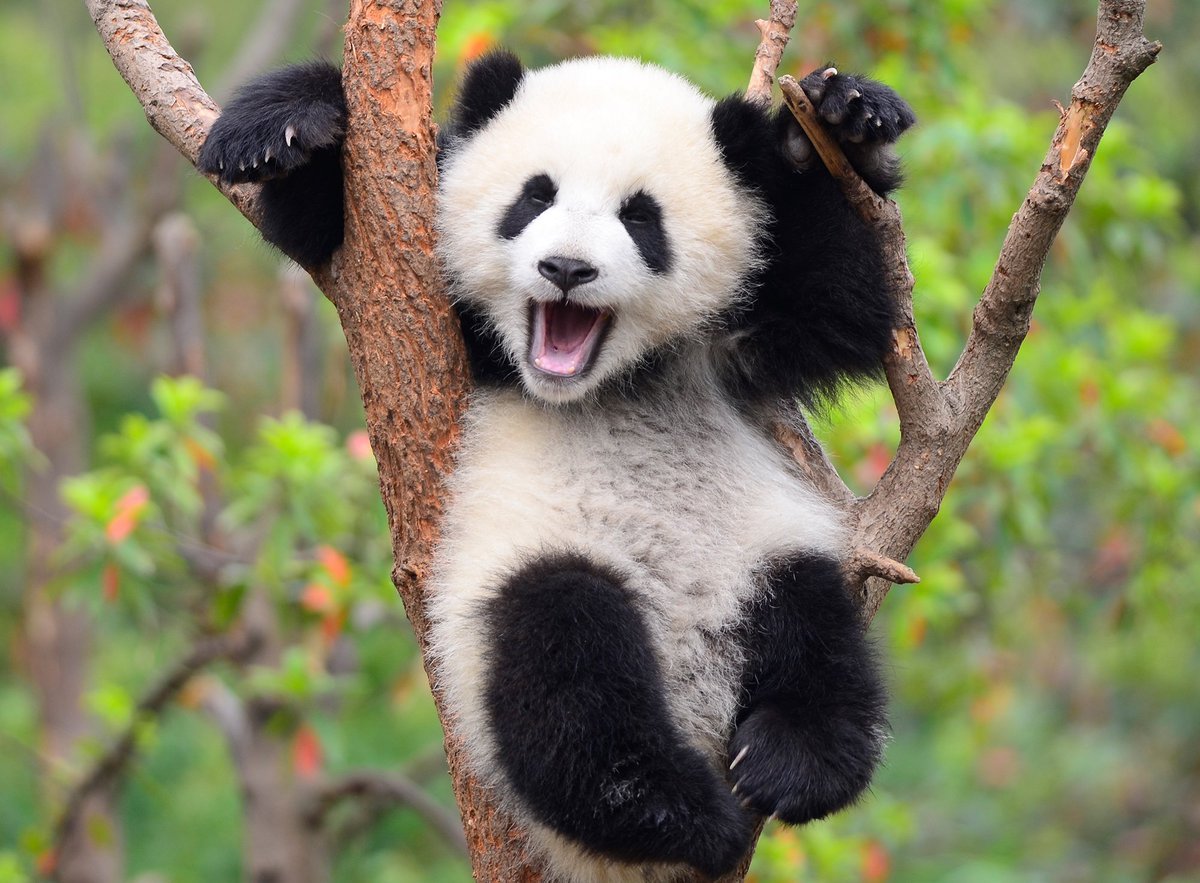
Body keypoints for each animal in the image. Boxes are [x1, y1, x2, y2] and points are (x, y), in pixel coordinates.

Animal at [200, 51, 914, 882]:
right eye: (534, 196)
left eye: (641, 217)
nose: (567, 268)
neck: (604, 383)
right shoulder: (446, 320)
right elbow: (335, 231)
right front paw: (283, 128)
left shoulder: (736, 343)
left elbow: (844, 303)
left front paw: (841, 118)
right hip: (528, 571)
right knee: (565, 668)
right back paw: (679, 812)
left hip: (758, 555)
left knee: (817, 637)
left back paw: (783, 762)